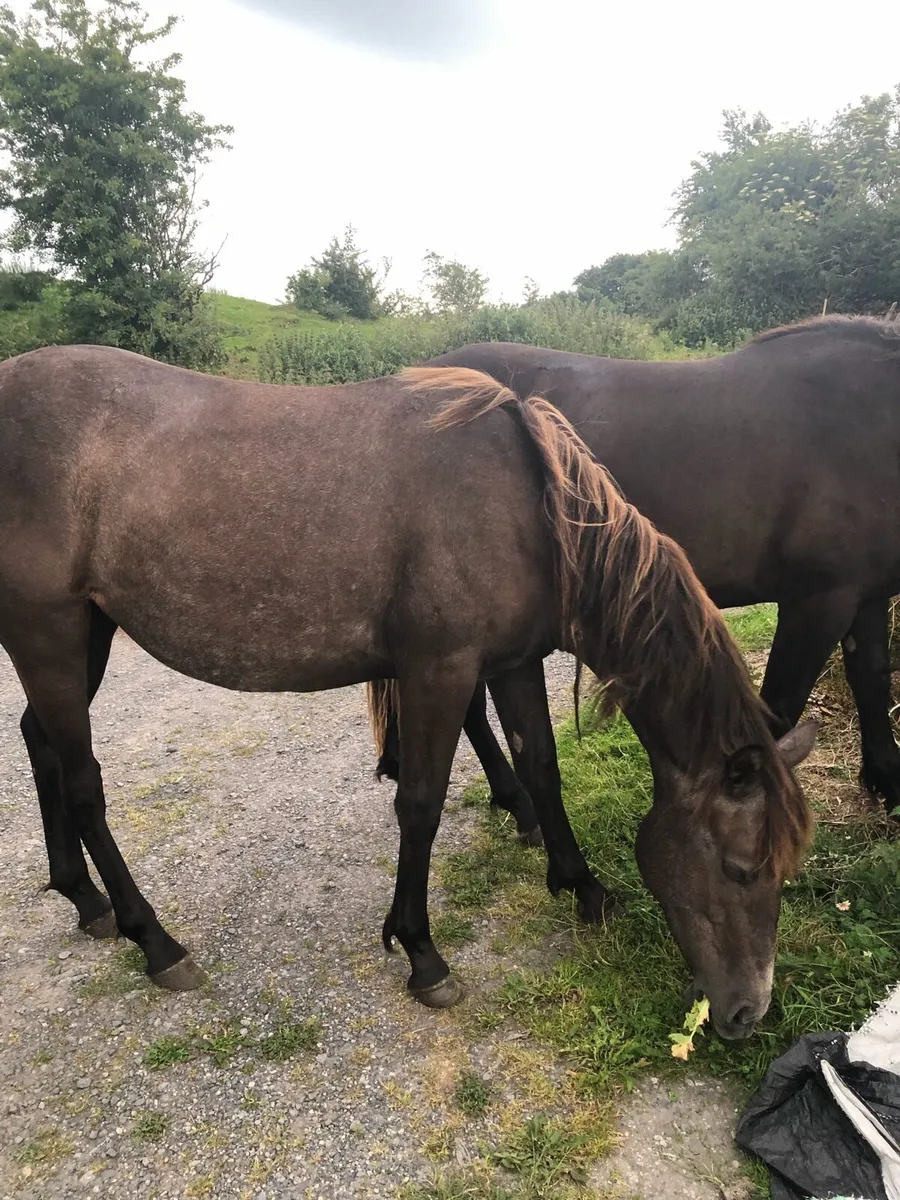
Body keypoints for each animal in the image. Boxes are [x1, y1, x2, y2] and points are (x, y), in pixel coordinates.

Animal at [0, 346, 811, 1037]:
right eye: (739, 869)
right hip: (49, 635)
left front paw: (583, 887)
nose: (747, 1014)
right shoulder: (439, 671)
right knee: (83, 785)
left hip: (87, 635)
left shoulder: (514, 663)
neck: (523, 505)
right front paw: (423, 954)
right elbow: (419, 805)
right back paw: (155, 941)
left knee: (40, 742)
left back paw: (85, 900)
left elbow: (541, 769)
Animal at [371, 316, 900, 847]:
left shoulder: (866, 597)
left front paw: (888, 785)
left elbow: (872, 679)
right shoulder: (818, 600)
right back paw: (519, 805)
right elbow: (780, 710)